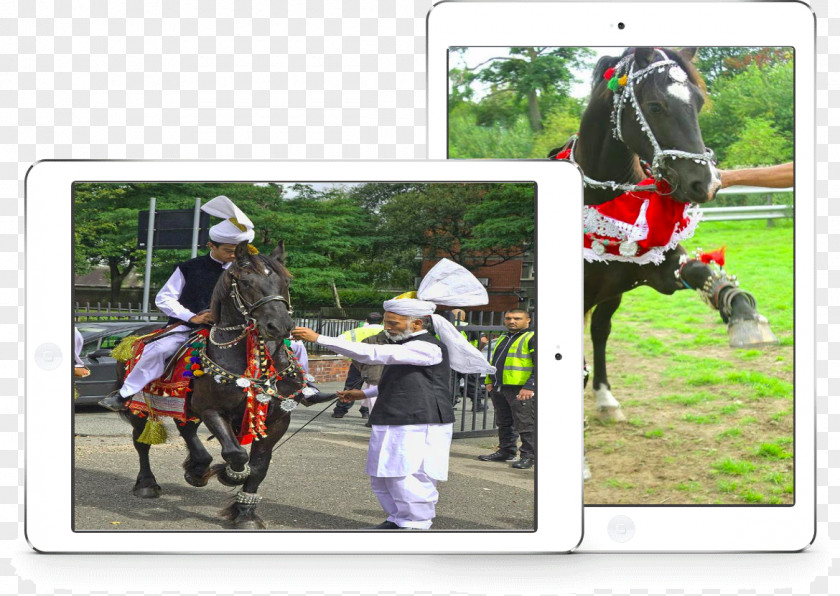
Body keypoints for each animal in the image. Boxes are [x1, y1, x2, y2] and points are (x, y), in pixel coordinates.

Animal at [117, 240, 302, 528]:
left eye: (286, 281)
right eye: (246, 282)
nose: (279, 326)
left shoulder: (278, 419)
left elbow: (259, 466)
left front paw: (245, 513)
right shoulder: (212, 409)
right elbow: (236, 454)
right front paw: (228, 475)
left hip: (185, 405)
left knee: (187, 431)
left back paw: (197, 467)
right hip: (141, 409)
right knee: (142, 442)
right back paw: (147, 484)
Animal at [556, 47, 776, 424]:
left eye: (698, 102)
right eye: (656, 106)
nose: (707, 183)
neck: (601, 200)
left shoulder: (655, 267)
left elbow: (700, 271)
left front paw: (742, 315)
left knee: (600, 331)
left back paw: (605, 398)